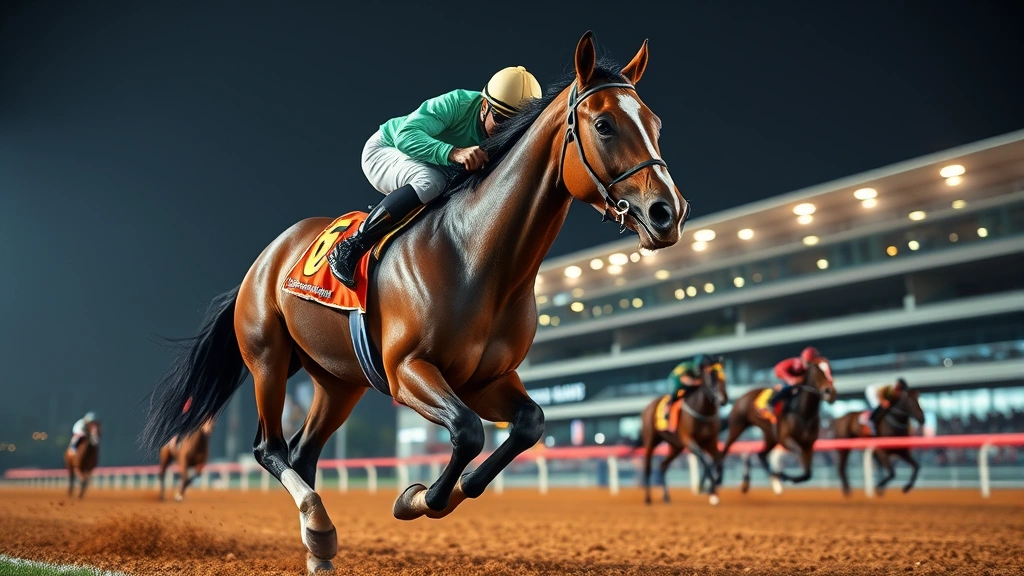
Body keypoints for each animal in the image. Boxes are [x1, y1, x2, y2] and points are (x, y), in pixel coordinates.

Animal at [140, 31, 688, 573]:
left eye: (656, 124)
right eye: (603, 124)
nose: (668, 213)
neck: (477, 255)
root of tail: (266, 257)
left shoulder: (487, 378)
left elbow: (529, 424)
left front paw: (451, 490)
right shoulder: (407, 370)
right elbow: (467, 431)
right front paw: (417, 498)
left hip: (338, 382)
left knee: (303, 453)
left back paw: (319, 542)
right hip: (268, 358)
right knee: (269, 448)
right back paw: (317, 523)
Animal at [637, 362, 727, 505]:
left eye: (724, 377)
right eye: (710, 378)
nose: (723, 399)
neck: (702, 411)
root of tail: (646, 408)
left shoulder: (710, 441)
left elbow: (719, 459)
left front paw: (715, 485)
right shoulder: (688, 440)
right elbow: (705, 459)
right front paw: (709, 489)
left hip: (676, 446)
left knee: (663, 465)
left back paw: (666, 496)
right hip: (651, 442)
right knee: (648, 467)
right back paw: (648, 498)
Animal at [719, 358, 836, 494]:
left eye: (830, 370)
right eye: (817, 371)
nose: (831, 393)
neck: (803, 412)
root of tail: (741, 397)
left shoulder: (809, 444)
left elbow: (808, 474)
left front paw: (786, 477)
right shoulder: (785, 439)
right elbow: (800, 457)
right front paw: (785, 476)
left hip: (770, 436)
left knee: (760, 454)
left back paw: (759, 481)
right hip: (737, 425)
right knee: (726, 449)